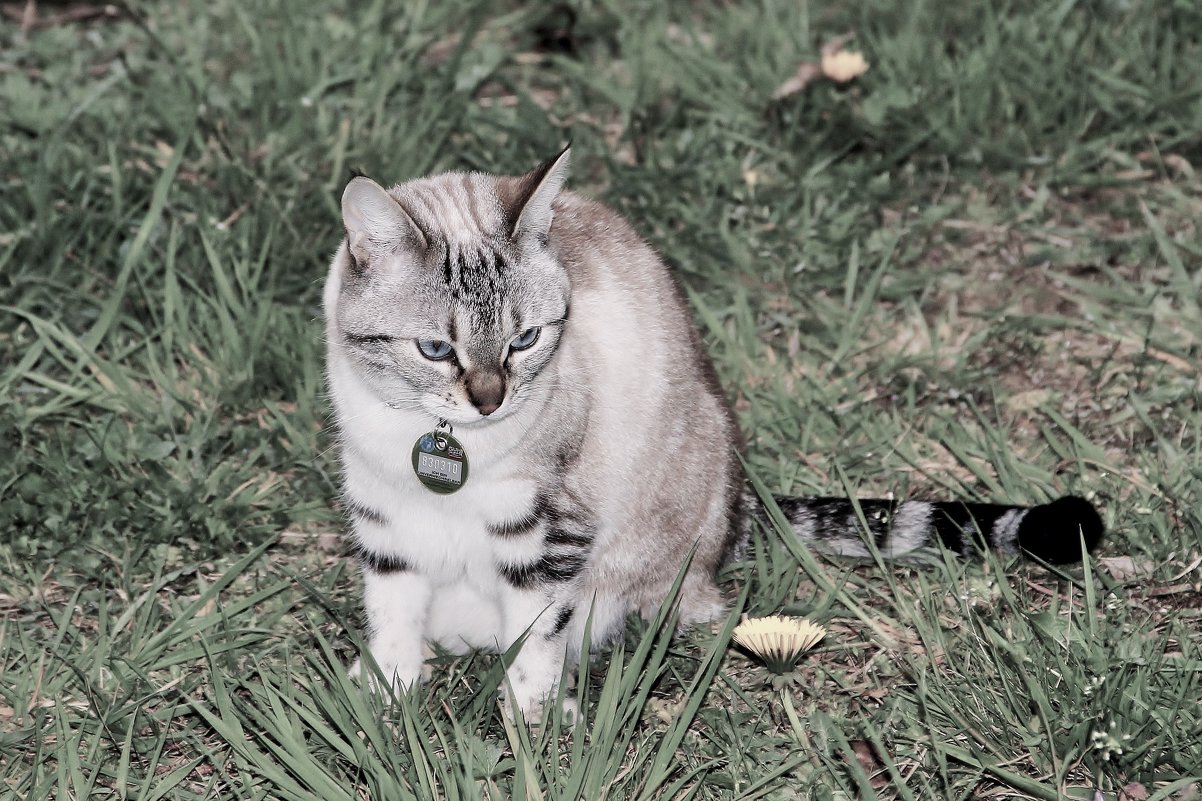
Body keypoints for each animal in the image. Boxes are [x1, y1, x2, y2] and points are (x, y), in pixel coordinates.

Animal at [324, 144, 1101, 716]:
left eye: (525, 340)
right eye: (435, 349)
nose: (489, 401)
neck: (440, 444)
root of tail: (738, 511)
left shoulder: (549, 530)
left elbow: (535, 639)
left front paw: (531, 722)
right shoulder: (381, 513)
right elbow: (391, 612)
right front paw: (385, 699)